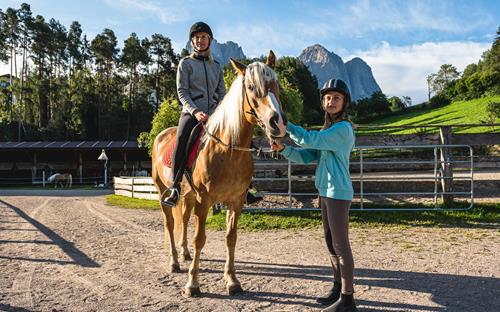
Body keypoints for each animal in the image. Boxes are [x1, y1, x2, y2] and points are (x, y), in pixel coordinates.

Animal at [150, 51, 288, 298]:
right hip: (163, 191)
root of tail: (161, 135)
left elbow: (230, 238)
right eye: (251, 87)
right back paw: (174, 261)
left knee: (183, 219)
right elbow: (200, 239)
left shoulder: (236, 201)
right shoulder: (204, 201)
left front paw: (232, 280)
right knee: (170, 223)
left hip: (187, 196)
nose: (278, 123)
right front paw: (192, 284)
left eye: (276, 83)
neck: (227, 149)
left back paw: (184, 254)